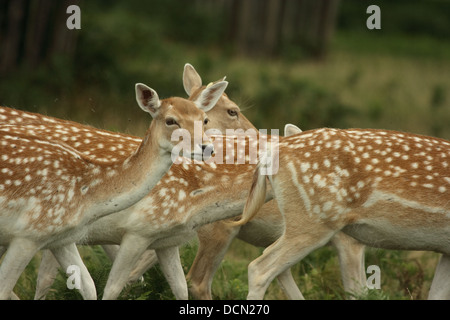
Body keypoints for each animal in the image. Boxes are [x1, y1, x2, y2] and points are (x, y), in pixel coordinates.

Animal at [0, 79, 227, 298]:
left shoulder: (59, 238)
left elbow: (89, 286)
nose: (207, 147)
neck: (87, 193)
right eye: (170, 120)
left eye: (204, 119)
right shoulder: (29, 233)